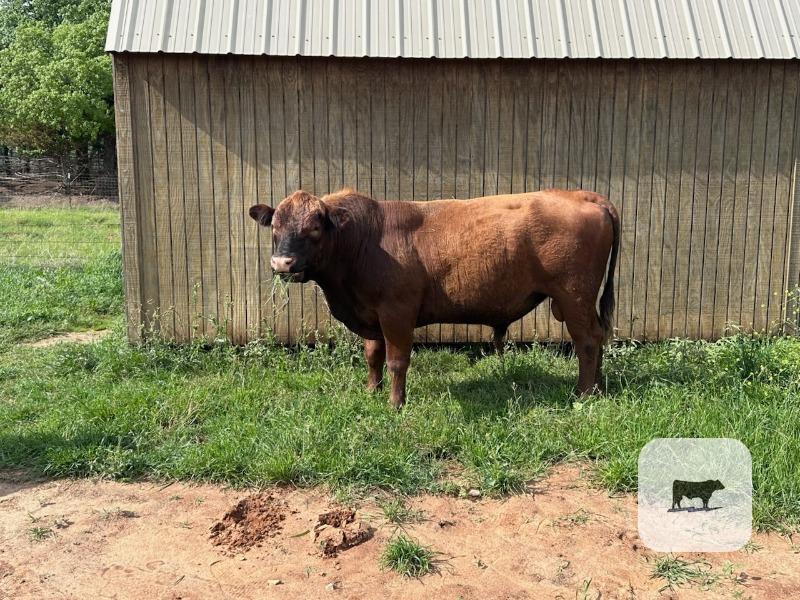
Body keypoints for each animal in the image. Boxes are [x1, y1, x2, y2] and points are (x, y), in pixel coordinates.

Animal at [249, 188, 620, 408]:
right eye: (274, 227)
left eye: (314, 228)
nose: (282, 263)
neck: (364, 239)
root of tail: (583, 195)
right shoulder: (372, 314)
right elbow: (372, 355)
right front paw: (371, 391)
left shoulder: (397, 312)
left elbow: (397, 361)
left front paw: (395, 405)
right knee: (598, 336)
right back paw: (599, 387)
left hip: (574, 297)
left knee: (588, 341)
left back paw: (584, 393)